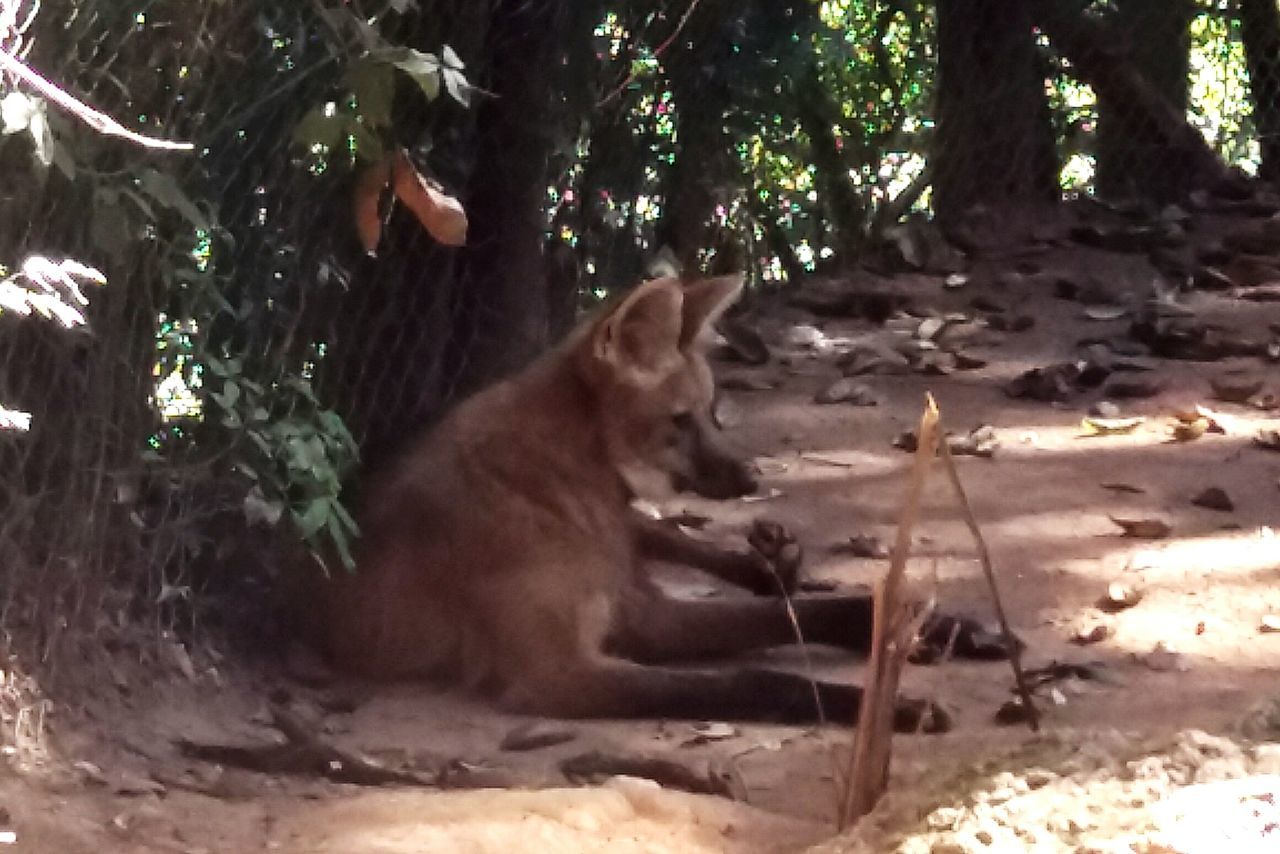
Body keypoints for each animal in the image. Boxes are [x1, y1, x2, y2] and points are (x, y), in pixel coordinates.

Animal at [325, 273, 1003, 727]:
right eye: (679, 421)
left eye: (713, 410)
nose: (751, 478)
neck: (565, 491)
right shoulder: (556, 673)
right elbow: (754, 677)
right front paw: (885, 706)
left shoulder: (642, 614)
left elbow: (822, 611)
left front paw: (939, 625)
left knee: (674, 542)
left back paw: (773, 562)